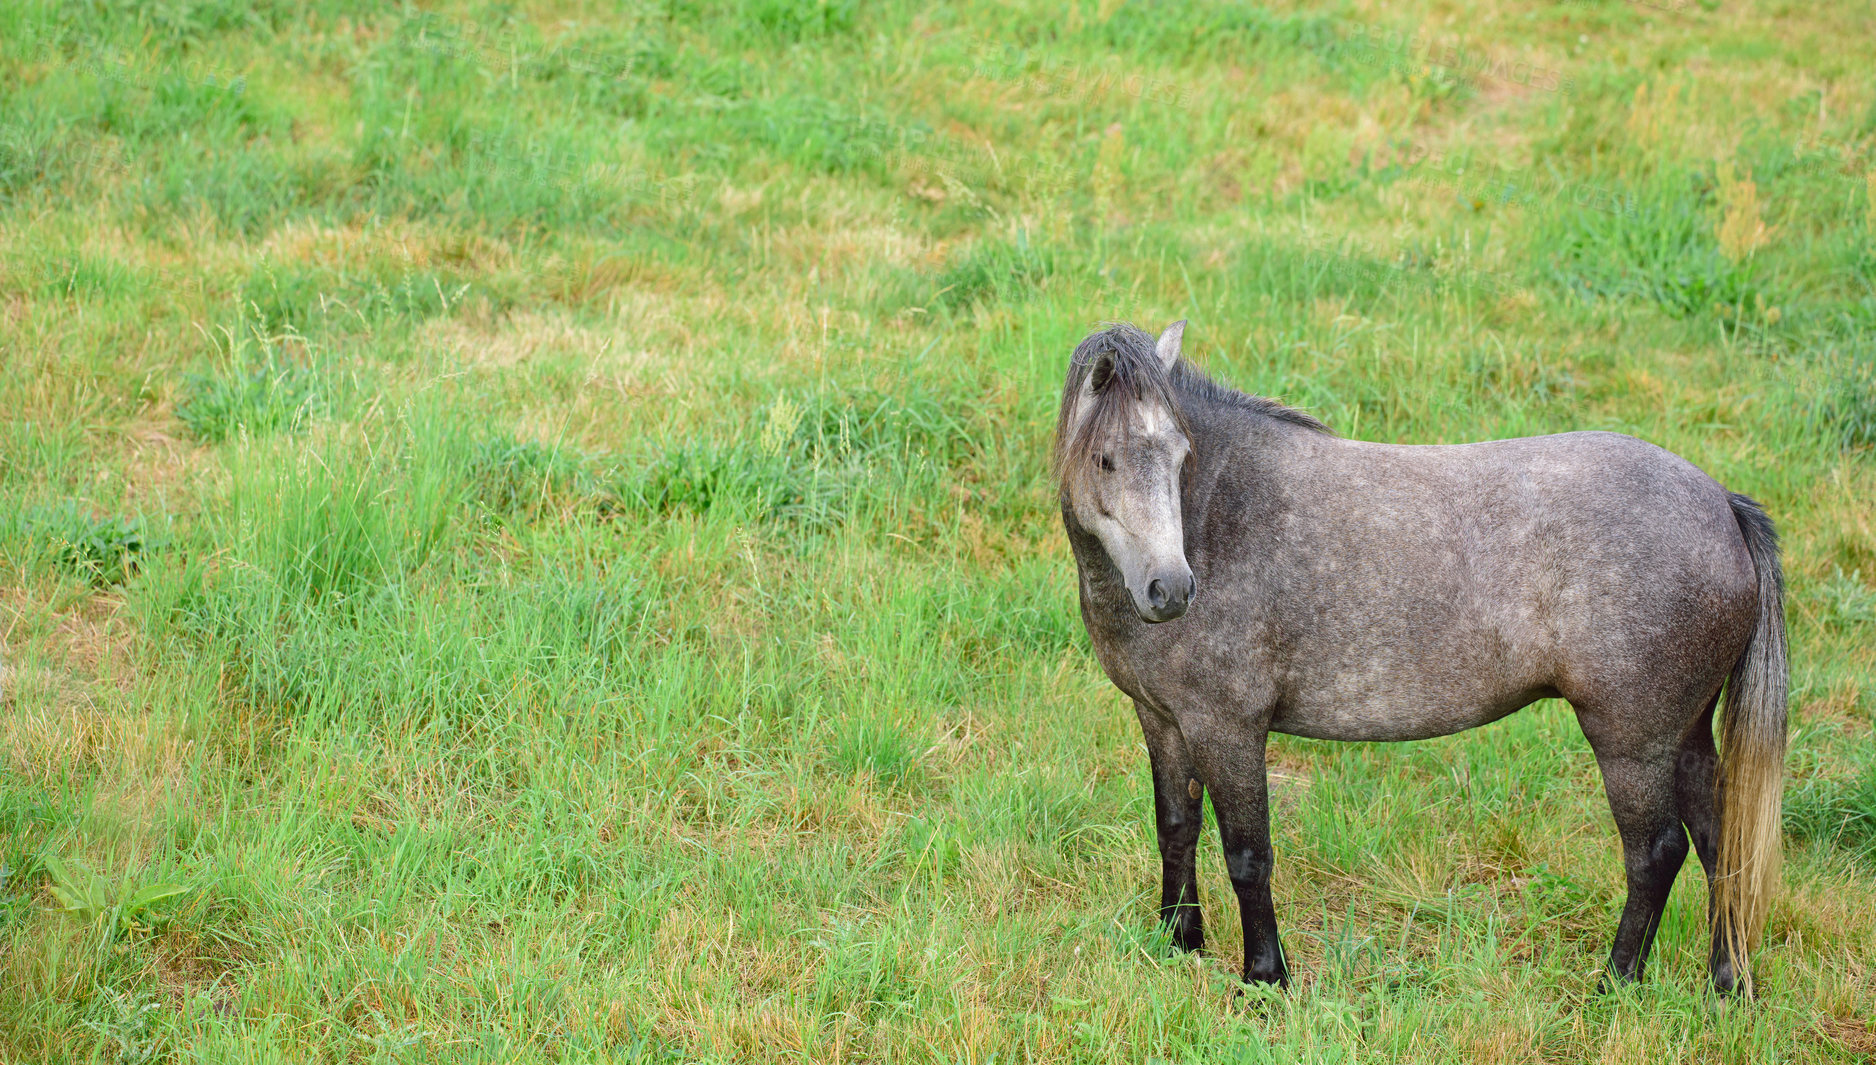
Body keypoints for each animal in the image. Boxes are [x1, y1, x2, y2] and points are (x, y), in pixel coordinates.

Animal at [1058, 320, 1785, 997]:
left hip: (1633, 743)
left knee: (1656, 853)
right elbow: (1176, 827)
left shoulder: (1227, 729)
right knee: (1720, 841)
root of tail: (1723, 505)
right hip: (1683, 734)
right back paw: (1726, 982)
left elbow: (1247, 854)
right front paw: (1178, 941)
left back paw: (1616, 981)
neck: (1216, 517)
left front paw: (1265, 976)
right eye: (1106, 460)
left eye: (1181, 455)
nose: (1171, 590)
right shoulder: (1162, 719)